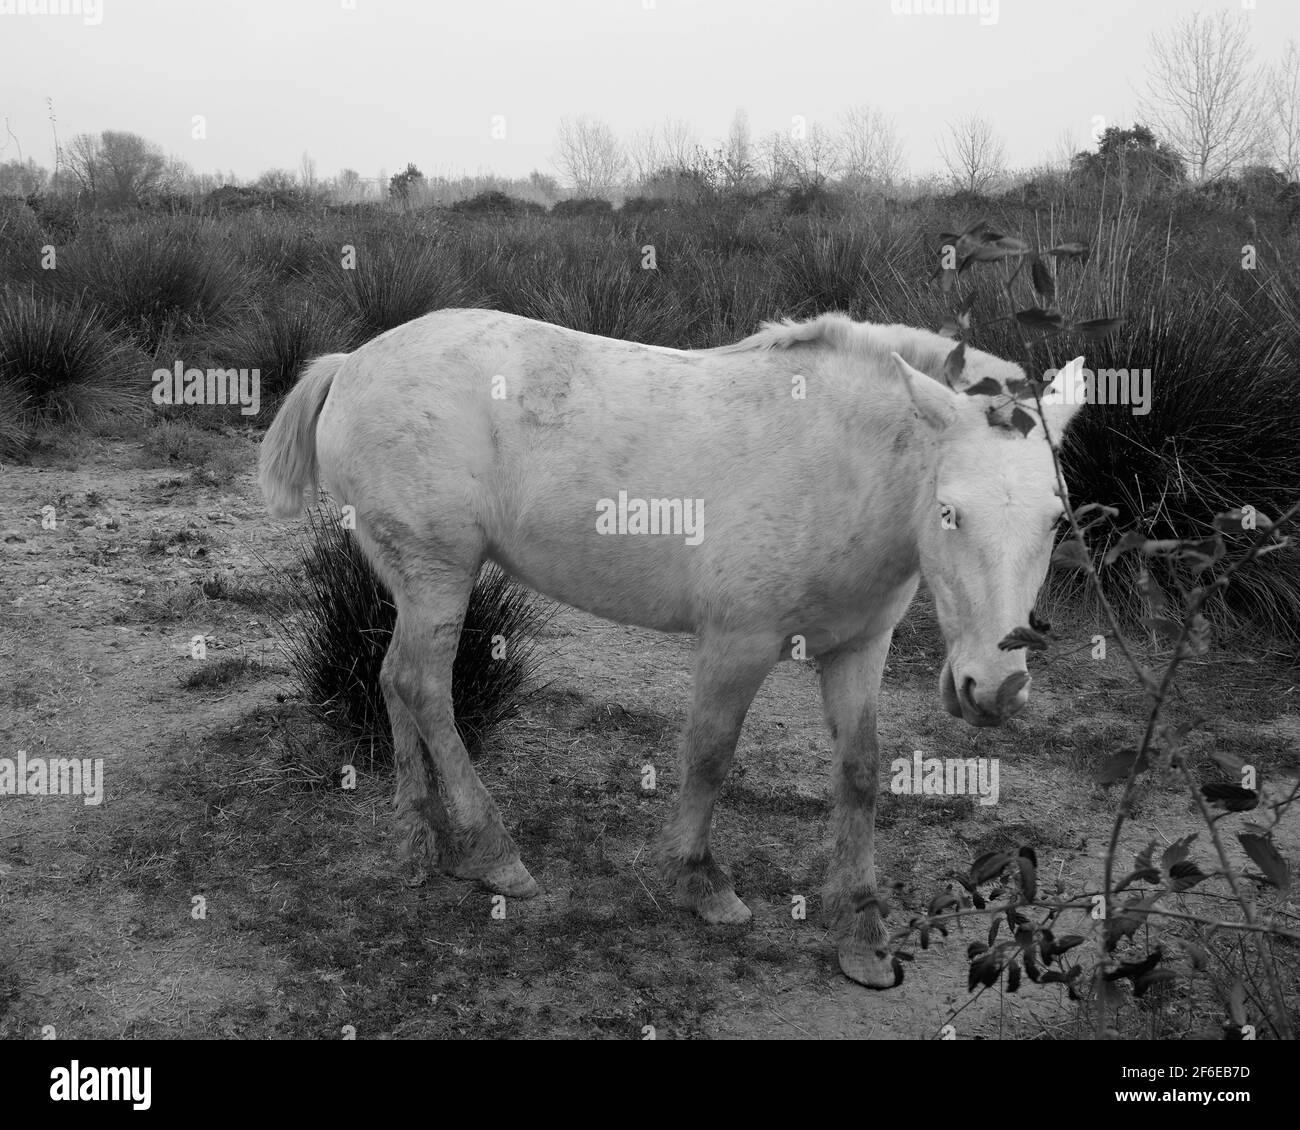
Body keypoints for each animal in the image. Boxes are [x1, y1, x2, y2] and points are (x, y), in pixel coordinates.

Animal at [261, 304, 1086, 983]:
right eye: (950, 512)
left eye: (1056, 518)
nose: (996, 688)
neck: (835, 460)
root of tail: (354, 362)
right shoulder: (737, 643)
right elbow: (711, 754)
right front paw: (698, 879)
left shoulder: (859, 646)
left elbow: (860, 771)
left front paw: (861, 928)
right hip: (438, 574)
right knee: (426, 689)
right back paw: (495, 853)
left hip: (413, 582)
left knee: (393, 679)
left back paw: (418, 837)